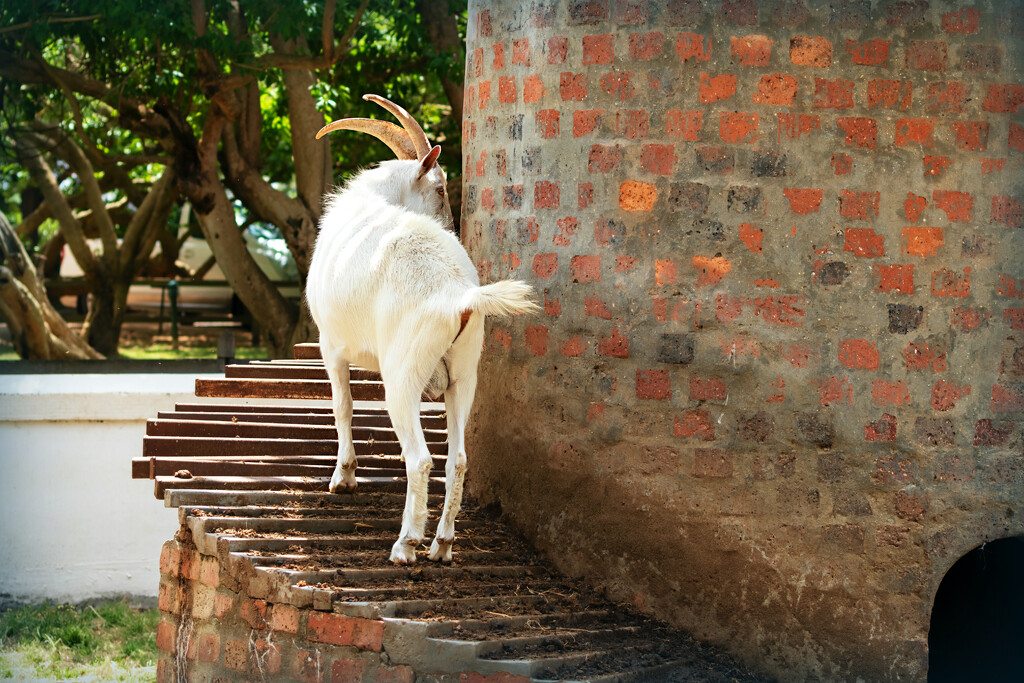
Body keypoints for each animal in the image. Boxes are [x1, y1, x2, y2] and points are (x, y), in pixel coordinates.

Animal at [309, 96, 536, 565]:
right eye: (442, 189)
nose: (452, 226)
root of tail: (457, 294)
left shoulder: (331, 345)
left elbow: (343, 407)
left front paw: (344, 478)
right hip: (464, 374)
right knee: (458, 459)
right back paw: (442, 545)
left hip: (403, 375)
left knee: (421, 460)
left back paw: (406, 544)